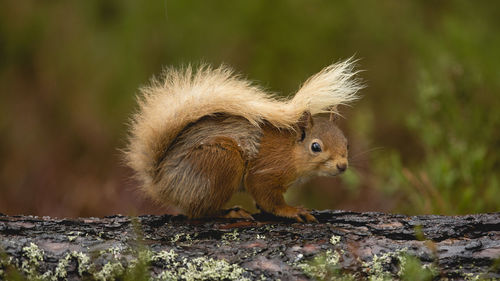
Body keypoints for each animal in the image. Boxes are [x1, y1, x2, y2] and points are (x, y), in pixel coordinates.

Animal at [123, 59, 362, 221]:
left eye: (347, 143)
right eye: (315, 147)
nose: (342, 166)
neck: (291, 152)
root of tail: (160, 181)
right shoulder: (266, 173)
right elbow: (268, 198)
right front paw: (292, 211)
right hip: (221, 161)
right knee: (200, 213)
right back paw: (230, 213)